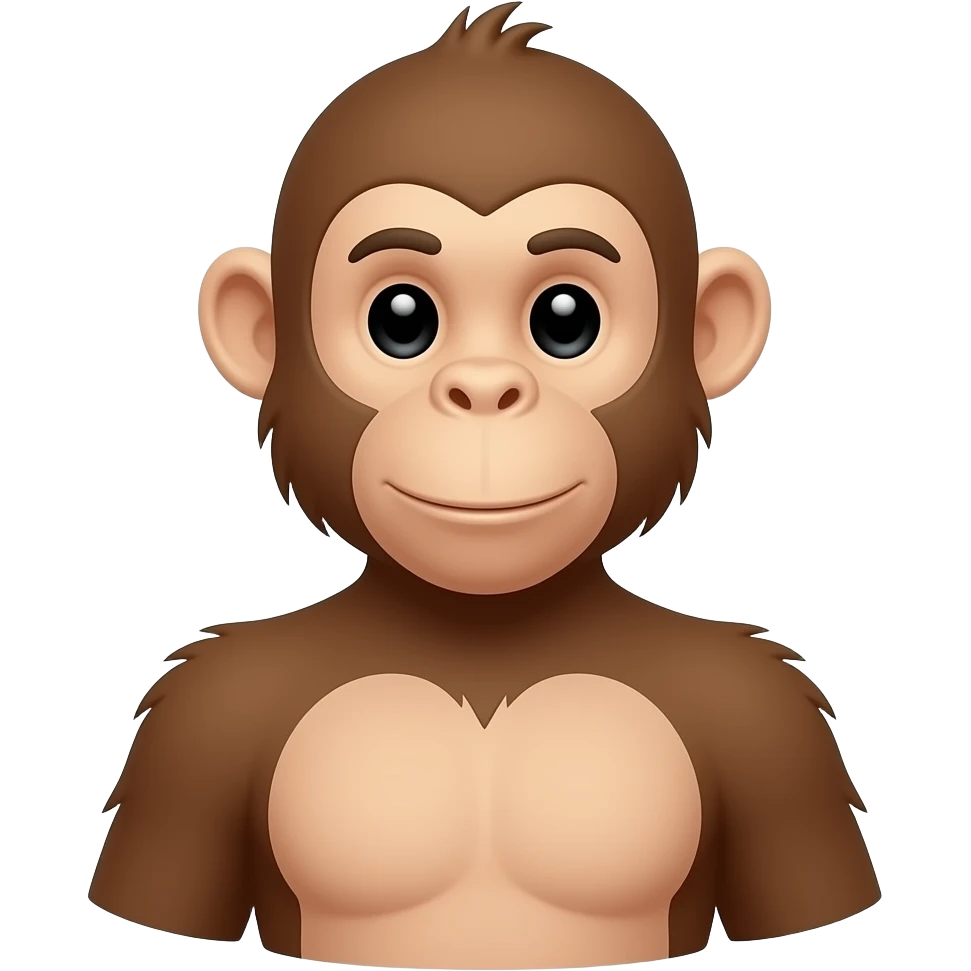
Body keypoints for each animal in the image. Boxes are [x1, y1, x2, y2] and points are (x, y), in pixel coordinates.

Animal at [87, 4, 881, 968]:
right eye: (401, 318)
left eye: (565, 319)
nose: (483, 390)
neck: (483, 633)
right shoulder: (195, 728)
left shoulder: (773, 729)